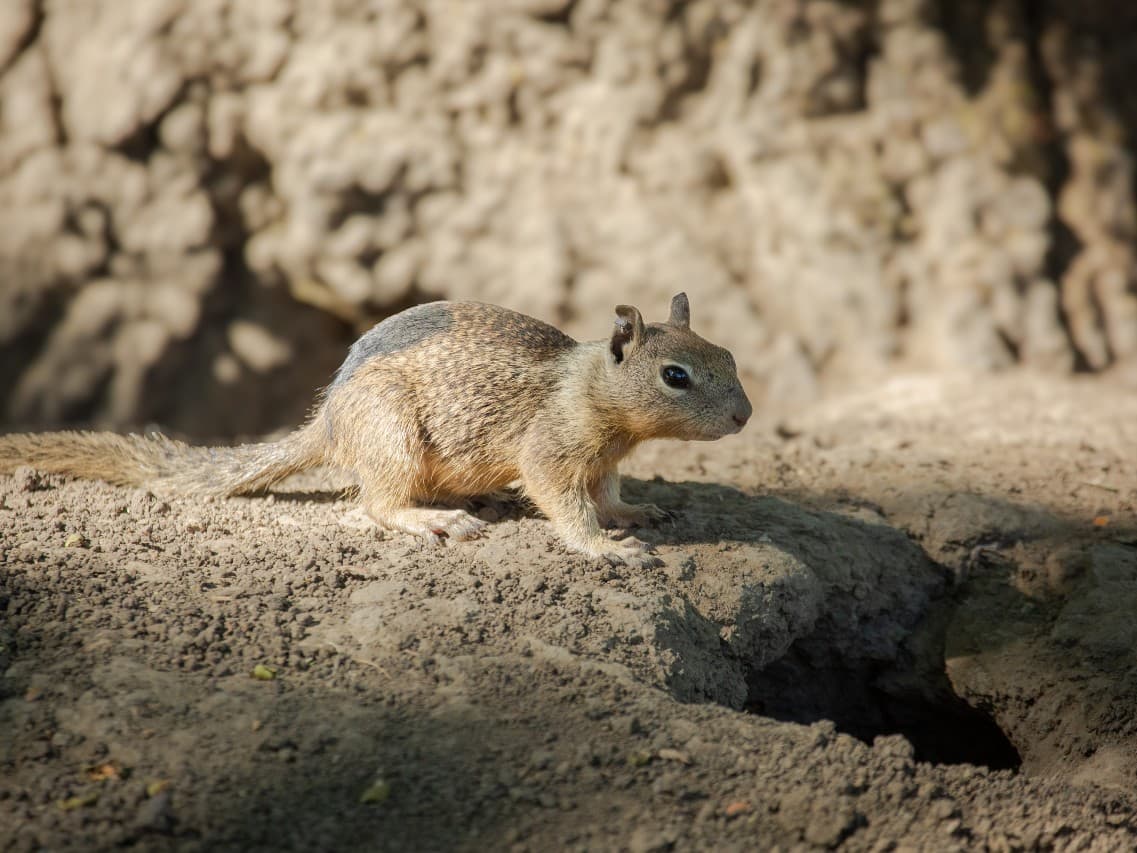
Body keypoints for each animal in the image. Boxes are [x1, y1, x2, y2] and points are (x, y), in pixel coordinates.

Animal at [0, 293, 751, 568]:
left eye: (730, 356)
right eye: (676, 376)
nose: (745, 415)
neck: (590, 385)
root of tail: (329, 419)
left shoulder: (606, 457)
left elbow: (610, 490)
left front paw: (636, 510)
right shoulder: (551, 450)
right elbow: (565, 503)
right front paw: (605, 547)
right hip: (393, 438)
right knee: (377, 505)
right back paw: (435, 519)